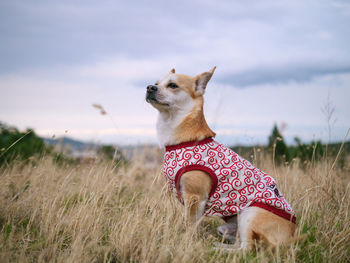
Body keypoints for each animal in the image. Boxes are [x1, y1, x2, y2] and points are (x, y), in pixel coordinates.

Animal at [146, 67, 296, 251]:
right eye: (156, 82)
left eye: (173, 85)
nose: (150, 87)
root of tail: (292, 235)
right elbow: (195, 225)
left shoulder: (195, 197)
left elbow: (189, 225)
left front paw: (187, 243)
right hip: (227, 227)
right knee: (239, 244)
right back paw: (217, 245)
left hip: (250, 213)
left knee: (247, 249)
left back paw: (217, 249)